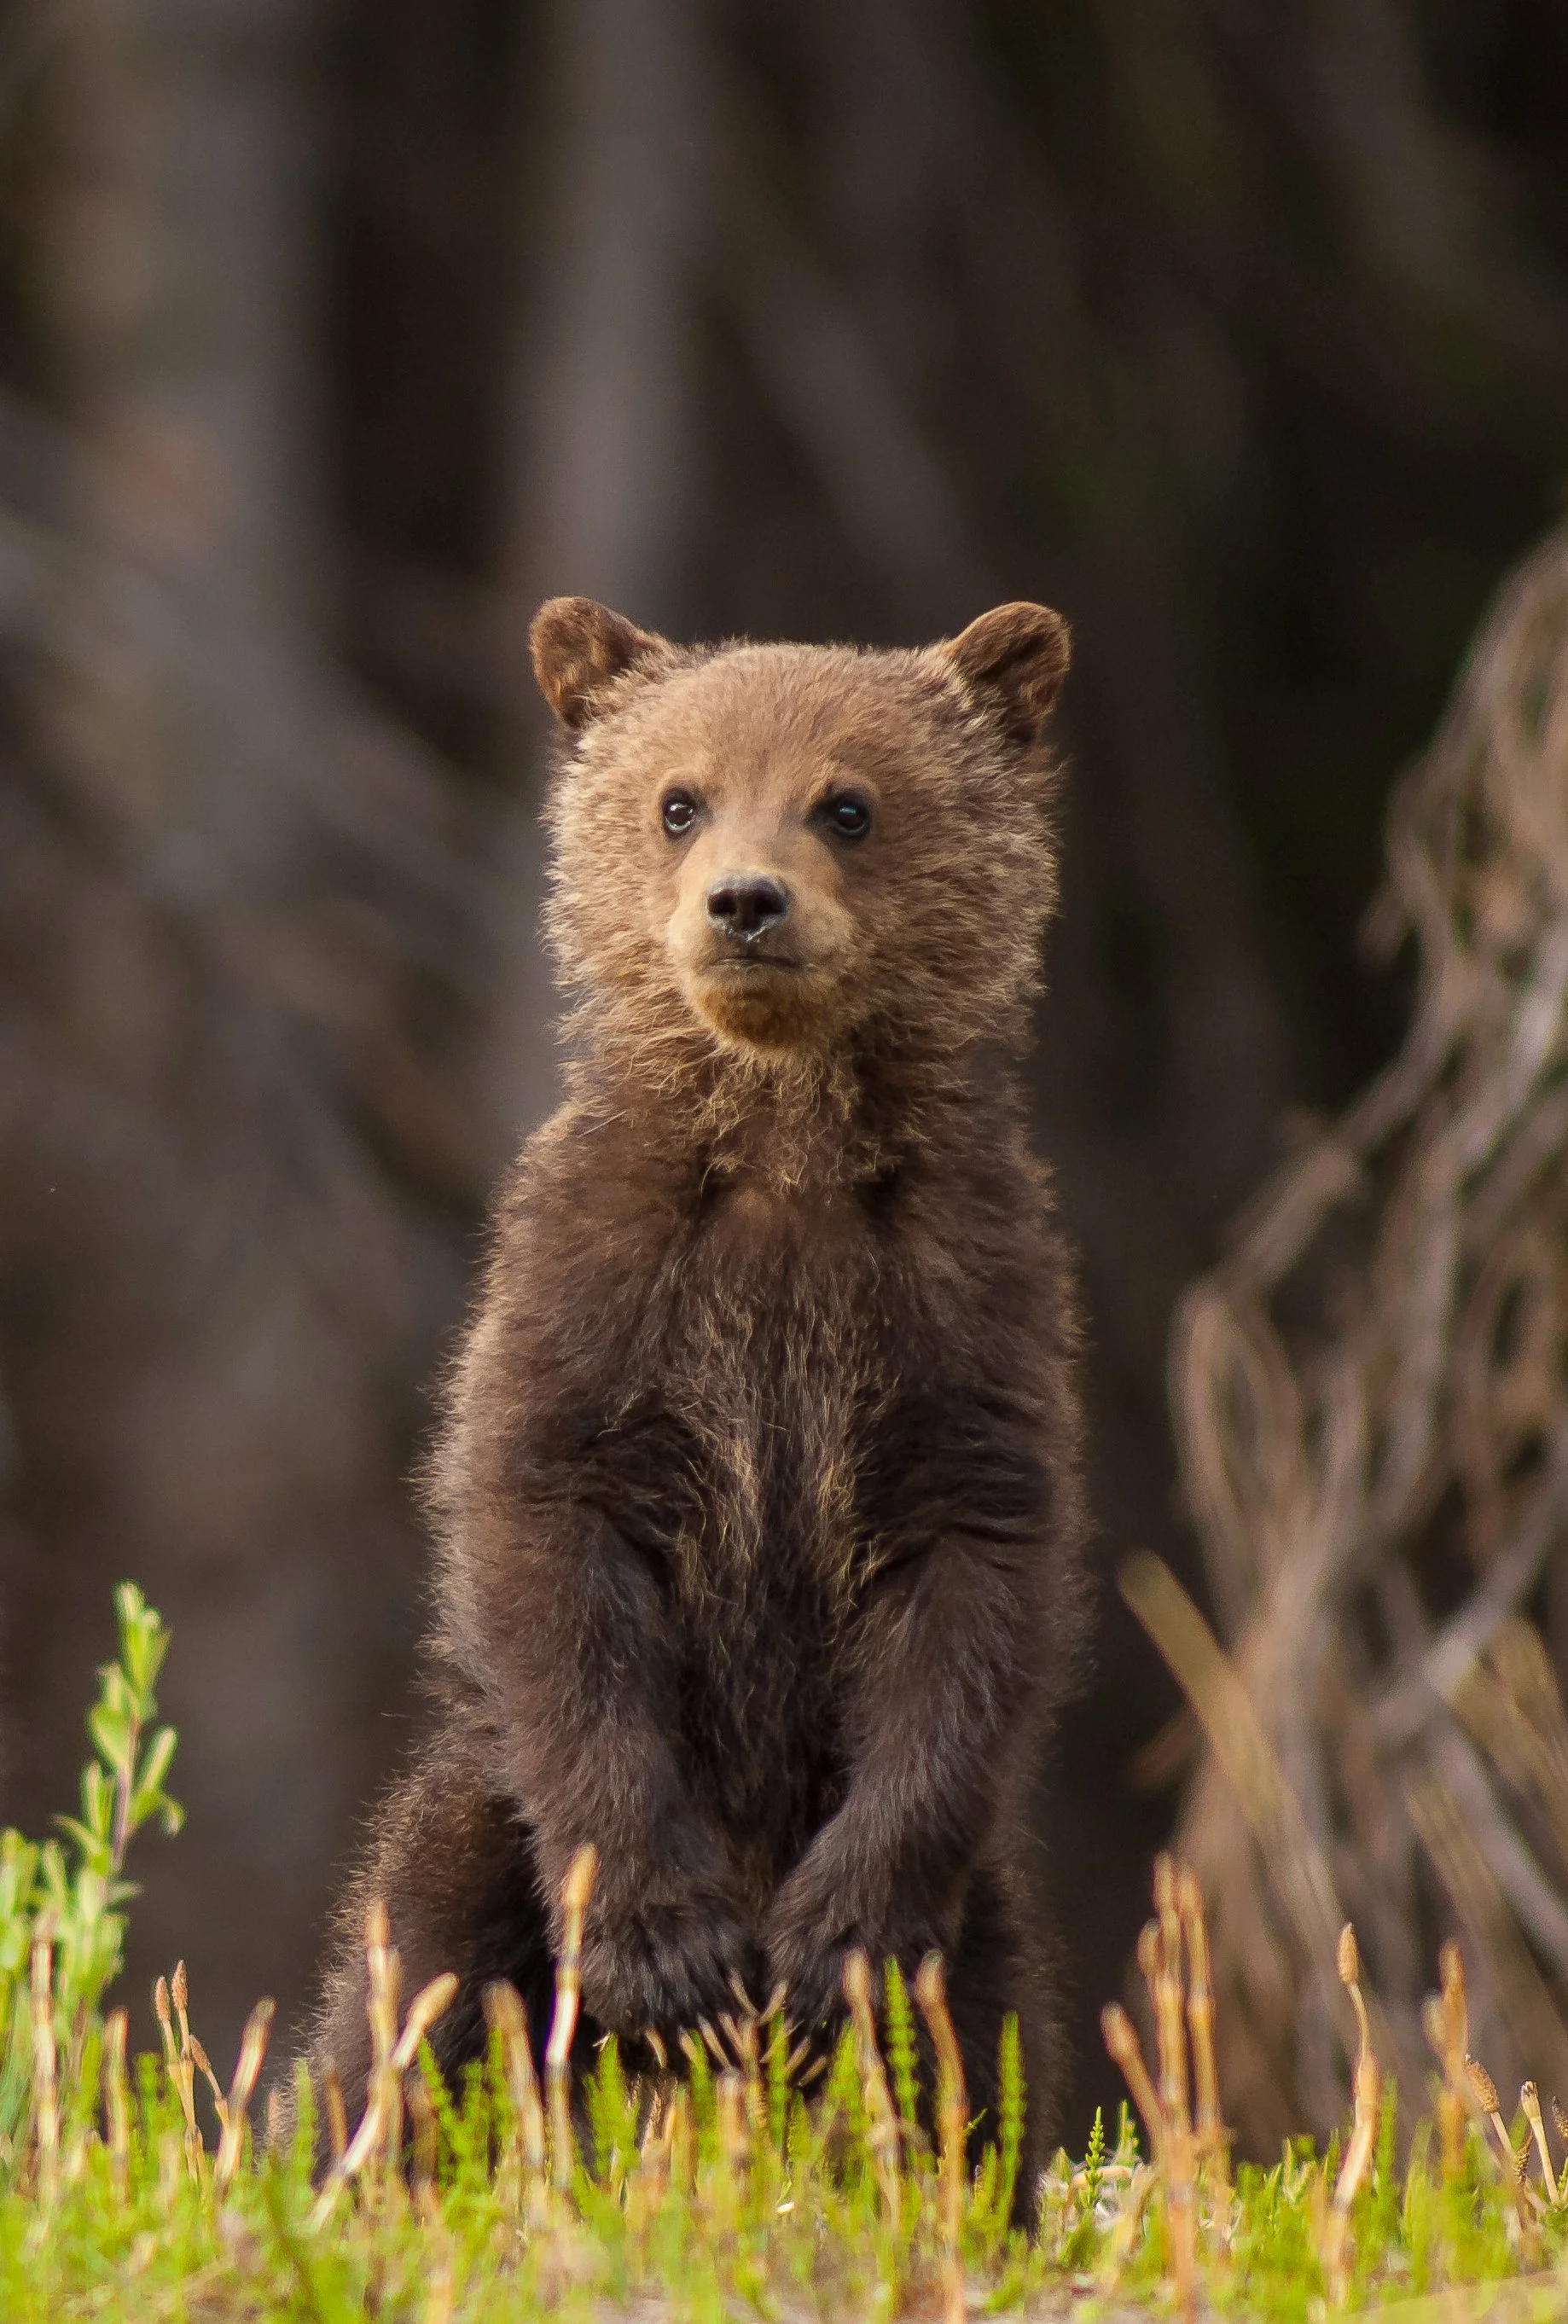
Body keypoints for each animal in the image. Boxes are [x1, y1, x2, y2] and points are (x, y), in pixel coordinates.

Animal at [306, 595, 1089, 2189]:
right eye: (678, 797)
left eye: (847, 801)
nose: (743, 901)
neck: (784, 1160)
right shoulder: (597, 1300)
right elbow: (544, 1541)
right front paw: (668, 1948)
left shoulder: (963, 1319)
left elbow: (974, 1588)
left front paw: (830, 1944)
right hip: (472, 1833)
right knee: (403, 2018)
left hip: (984, 1918)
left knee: (978, 2068)